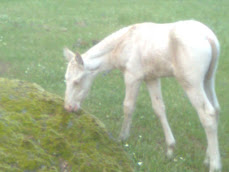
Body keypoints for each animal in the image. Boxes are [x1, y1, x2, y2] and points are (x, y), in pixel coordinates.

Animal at [63, 19, 221, 171]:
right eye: (66, 79)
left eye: (77, 81)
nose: (68, 107)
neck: (124, 42)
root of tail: (209, 37)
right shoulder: (151, 78)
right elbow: (159, 108)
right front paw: (170, 149)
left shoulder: (132, 76)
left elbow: (128, 106)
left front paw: (122, 138)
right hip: (208, 79)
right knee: (216, 109)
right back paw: (207, 158)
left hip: (191, 82)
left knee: (207, 114)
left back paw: (215, 165)